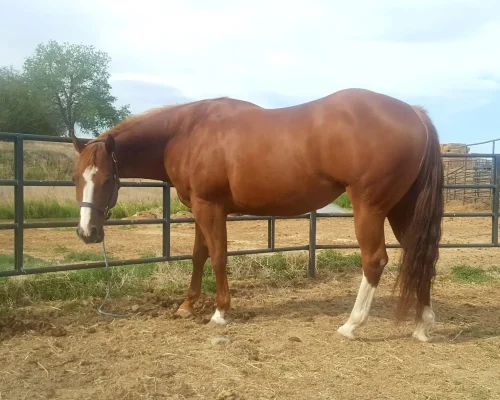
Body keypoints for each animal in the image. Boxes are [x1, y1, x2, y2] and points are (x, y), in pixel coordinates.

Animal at [72, 89, 444, 342]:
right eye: (76, 177)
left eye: (106, 180)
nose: (88, 232)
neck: (187, 132)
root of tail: (414, 114)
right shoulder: (199, 207)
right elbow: (198, 255)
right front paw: (187, 306)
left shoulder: (210, 207)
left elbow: (218, 256)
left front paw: (220, 312)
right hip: (404, 207)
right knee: (422, 255)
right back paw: (422, 325)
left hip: (370, 207)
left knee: (375, 260)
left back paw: (352, 325)